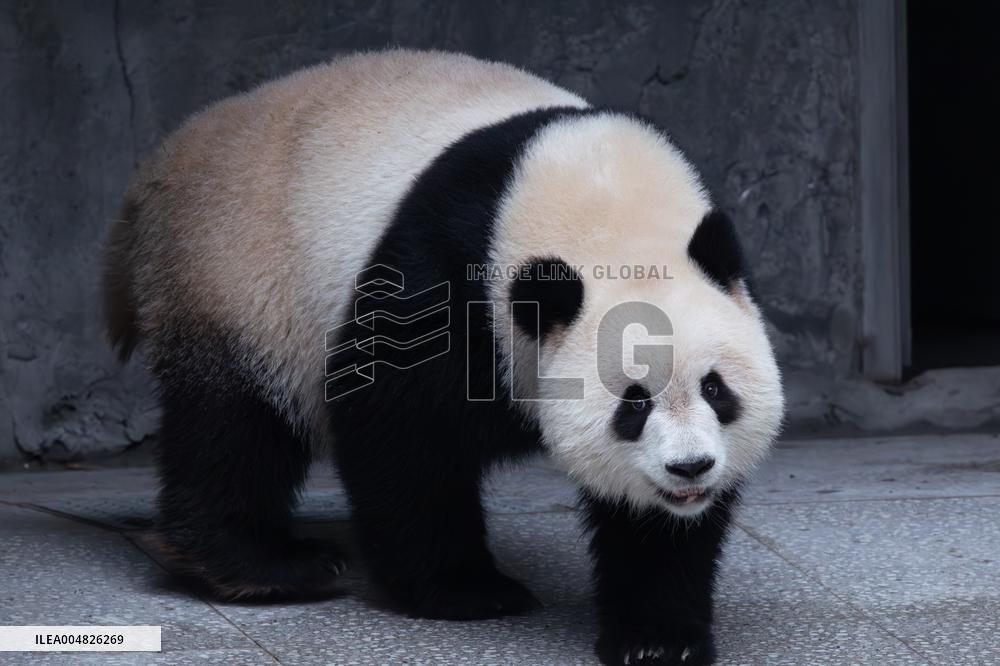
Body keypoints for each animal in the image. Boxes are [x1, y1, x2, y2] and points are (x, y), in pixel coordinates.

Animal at [103, 50, 783, 665]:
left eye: (716, 389)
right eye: (633, 405)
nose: (691, 468)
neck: (605, 206)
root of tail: (157, 170)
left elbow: (656, 527)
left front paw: (657, 638)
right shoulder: (448, 264)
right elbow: (401, 422)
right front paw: (466, 590)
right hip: (241, 276)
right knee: (235, 426)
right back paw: (266, 565)